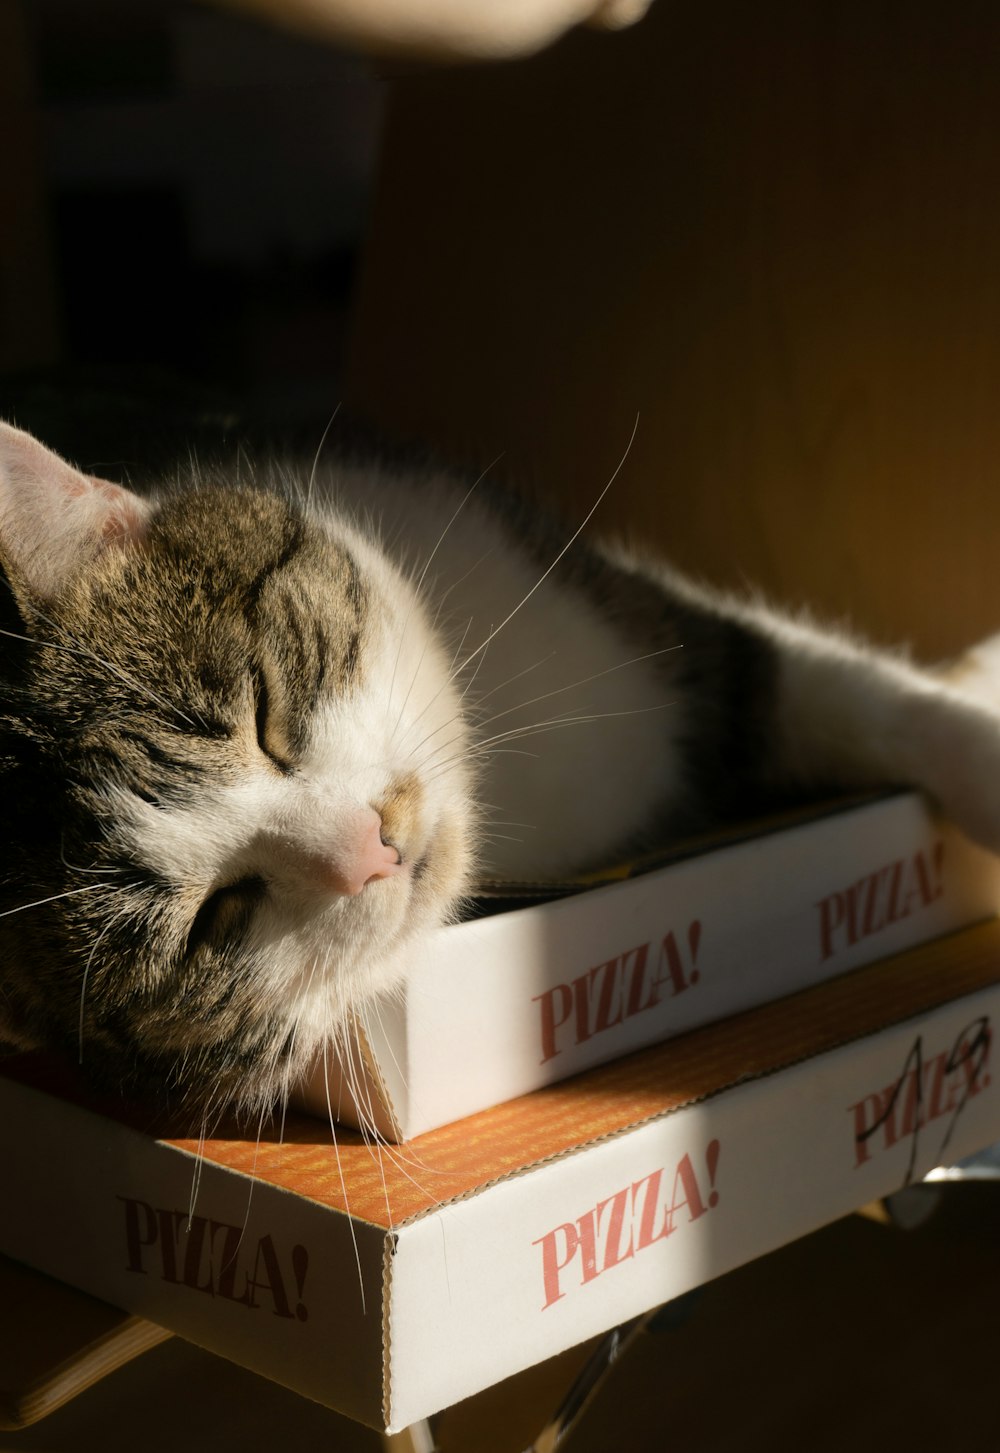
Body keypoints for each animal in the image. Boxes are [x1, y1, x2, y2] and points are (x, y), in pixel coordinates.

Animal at [1, 421, 1000, 1121]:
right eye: (213, 919)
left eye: (263, 715)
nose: (369, 845)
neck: (511, 783)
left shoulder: (637, 626)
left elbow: (839, 691)